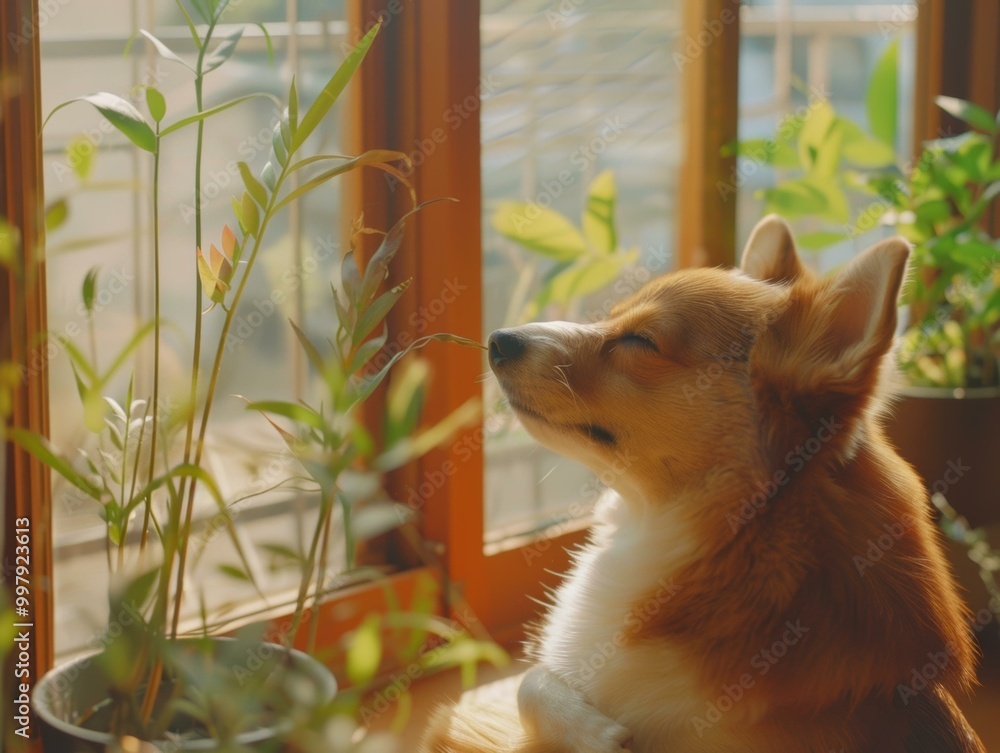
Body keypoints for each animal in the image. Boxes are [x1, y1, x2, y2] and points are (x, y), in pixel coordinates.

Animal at [420, 217, 984, 752]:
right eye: (608, 318)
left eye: (640, 340)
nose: (499, 339)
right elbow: (531, 679)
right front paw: (591, 731)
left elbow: (524, 686)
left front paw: (597, 736)